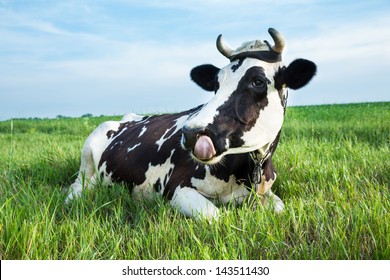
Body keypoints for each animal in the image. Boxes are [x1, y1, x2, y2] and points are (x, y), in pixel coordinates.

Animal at [66, 29, 316, 221]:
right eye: (216, 83)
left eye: (258, 81)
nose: (192, 133)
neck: (247, 171)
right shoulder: (176, 188)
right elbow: (215, 216)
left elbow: (280, 208)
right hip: (87, 155)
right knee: (77, 185)